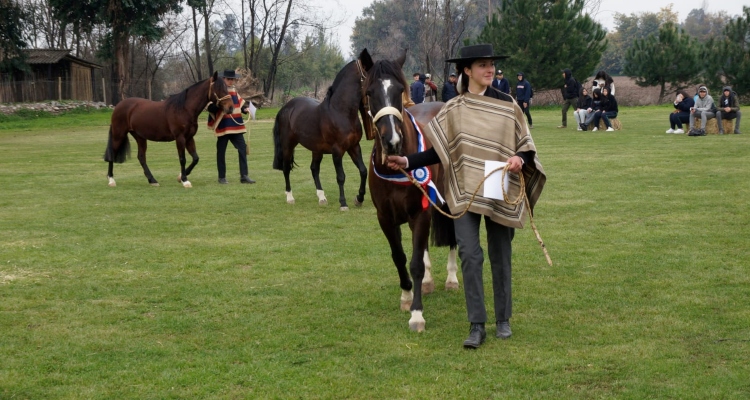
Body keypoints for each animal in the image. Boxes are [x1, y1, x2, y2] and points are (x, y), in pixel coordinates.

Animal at [272, 49, 374, 209]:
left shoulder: (354, 146)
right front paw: (343, 203)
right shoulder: (337, 150)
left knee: (314, 169)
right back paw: (290, 197)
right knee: (286, 168)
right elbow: (341, 176)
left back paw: (322, 197)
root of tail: (285, 108)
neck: (341, 112)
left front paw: (359, 198)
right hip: (288, 145)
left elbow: (363, 171)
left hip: (317, 149)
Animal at [368, 49, 462, 332]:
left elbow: (416, 263)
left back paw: (451, 279)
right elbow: (400, 257)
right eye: (370, 92)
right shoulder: (386, 218)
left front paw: (417, 314)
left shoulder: (419, 214)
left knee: (453, 237)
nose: (392, 141)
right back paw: (429, 283)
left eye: (399, 89)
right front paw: (407, 296)